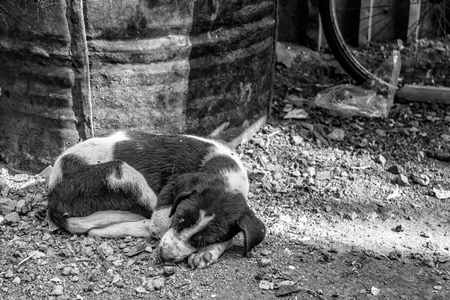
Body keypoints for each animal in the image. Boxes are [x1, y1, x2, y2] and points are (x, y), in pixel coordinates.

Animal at [47, 131, 266, 270]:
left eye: (204, 240)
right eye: (179, 219)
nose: (165, 256)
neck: (223, 168)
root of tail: (53, 197)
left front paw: (208, 252)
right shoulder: (166, 204)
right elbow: (158, 226)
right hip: (122, 172)